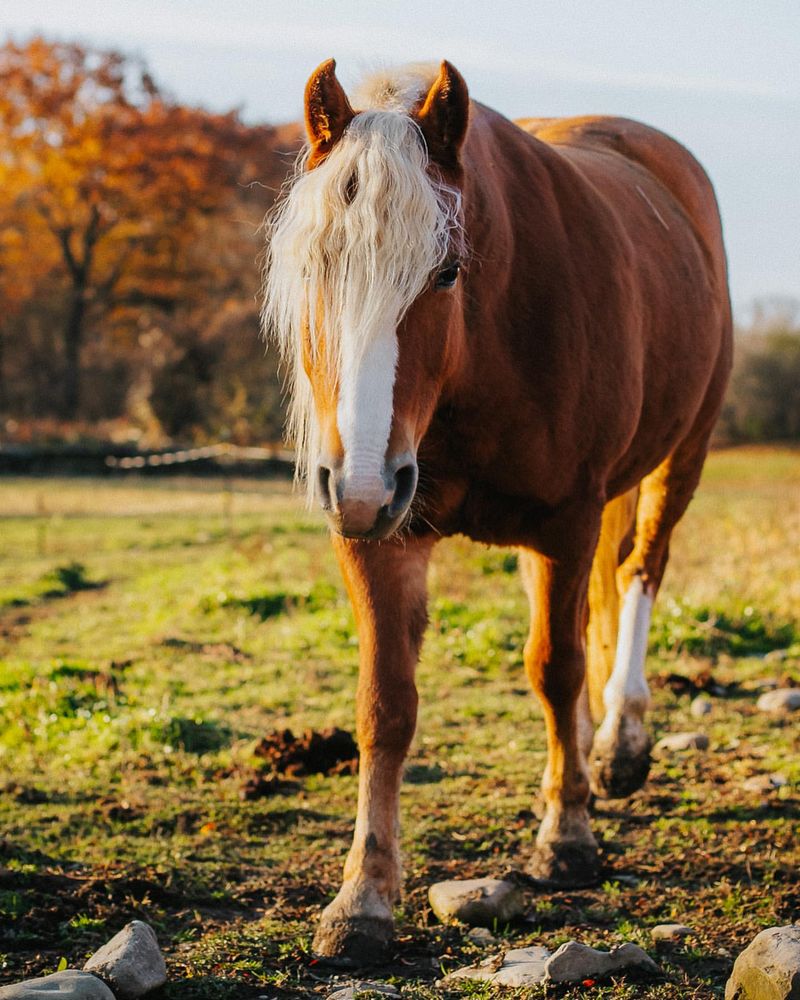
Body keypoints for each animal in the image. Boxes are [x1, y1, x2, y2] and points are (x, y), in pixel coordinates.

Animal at [260, 56, 732, 960]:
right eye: (312, 267)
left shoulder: (568, 520)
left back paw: (618, 743)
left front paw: (567, 839)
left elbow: (555, 666)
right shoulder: (380, 536)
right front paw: (362, 897)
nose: (362, 482)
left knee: (638, 575)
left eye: (446, 271)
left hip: (677, 461)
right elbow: (386, 706)